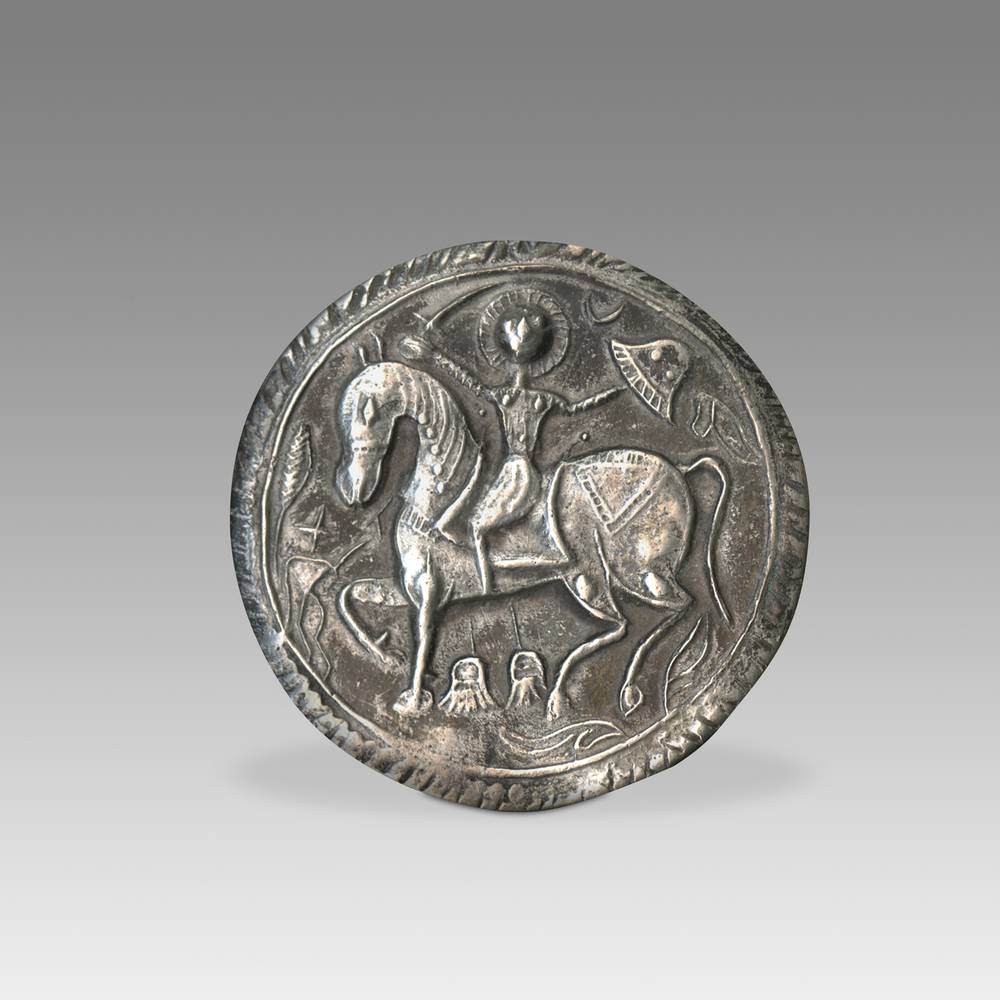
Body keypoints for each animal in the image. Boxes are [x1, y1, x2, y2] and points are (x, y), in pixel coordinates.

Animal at [323, 361, 729, 721]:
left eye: (362, 427)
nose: (353, 491)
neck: (438, 502)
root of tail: (681, 470)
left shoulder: (428, 591)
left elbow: (422, 641)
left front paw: (412, 700)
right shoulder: (408, 587)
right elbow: (347, 595)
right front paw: (385, 654)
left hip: (619, 573)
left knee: (657, 612)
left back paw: (583, 694)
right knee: (637, 620)